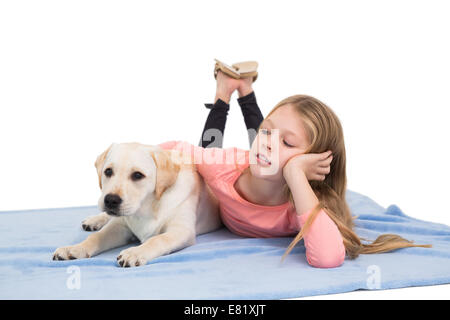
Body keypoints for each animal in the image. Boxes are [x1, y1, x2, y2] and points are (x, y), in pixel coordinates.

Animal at [52, 142, 221, 268]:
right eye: (108, 171)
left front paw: (135, 253)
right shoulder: (120, 226)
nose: (110, 200)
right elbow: (97, 236)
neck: (147, 207)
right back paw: (94, 220)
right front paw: (75, 248)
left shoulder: (181, 230)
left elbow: (158, 239)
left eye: (138, 175)